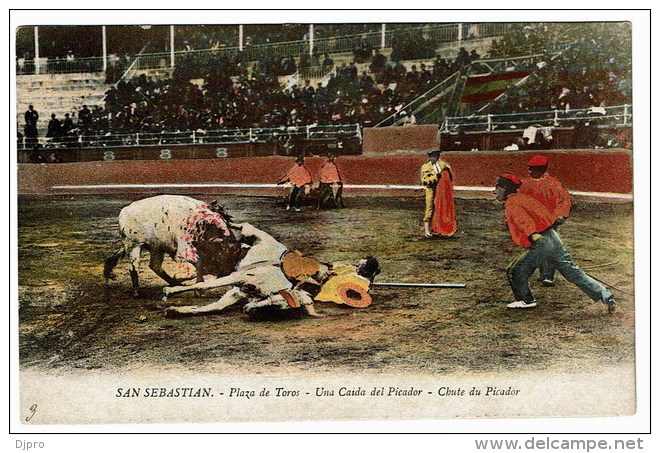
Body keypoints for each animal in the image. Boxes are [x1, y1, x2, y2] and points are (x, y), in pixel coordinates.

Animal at [104, 195, 244, 294]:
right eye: (225, 252)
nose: (227, 273)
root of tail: (124, 211)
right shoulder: (184, 249)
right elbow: (199, 262)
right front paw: (199, 288)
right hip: (134, 245)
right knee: (133, 268)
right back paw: (136, 292)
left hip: (156, 247)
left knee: (155, 266)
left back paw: (174, 283)